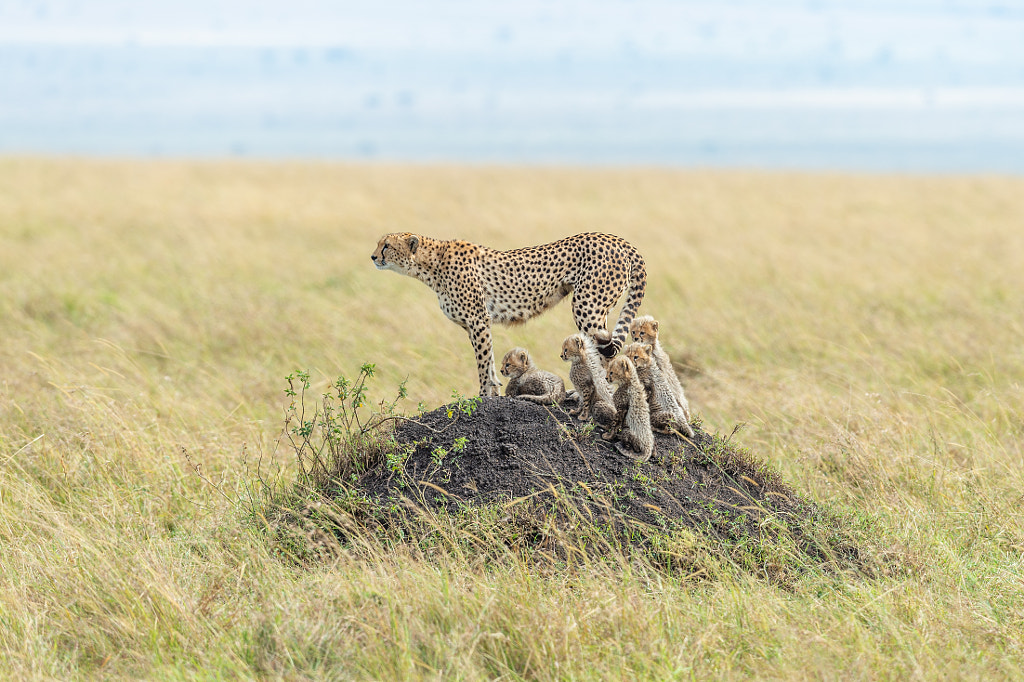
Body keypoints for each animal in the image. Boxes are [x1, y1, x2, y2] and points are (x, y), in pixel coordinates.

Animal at [372, 232, 647, 395]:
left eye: (386, 245)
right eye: (379, 243)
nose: (373, 256)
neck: (431, 264)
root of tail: (618, 239)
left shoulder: (478, 320)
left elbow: (483, 363)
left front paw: (484, 396)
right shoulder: (476, 324)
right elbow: (490, 361)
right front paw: (493, 389)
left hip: (587, 306)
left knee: (604, 355)